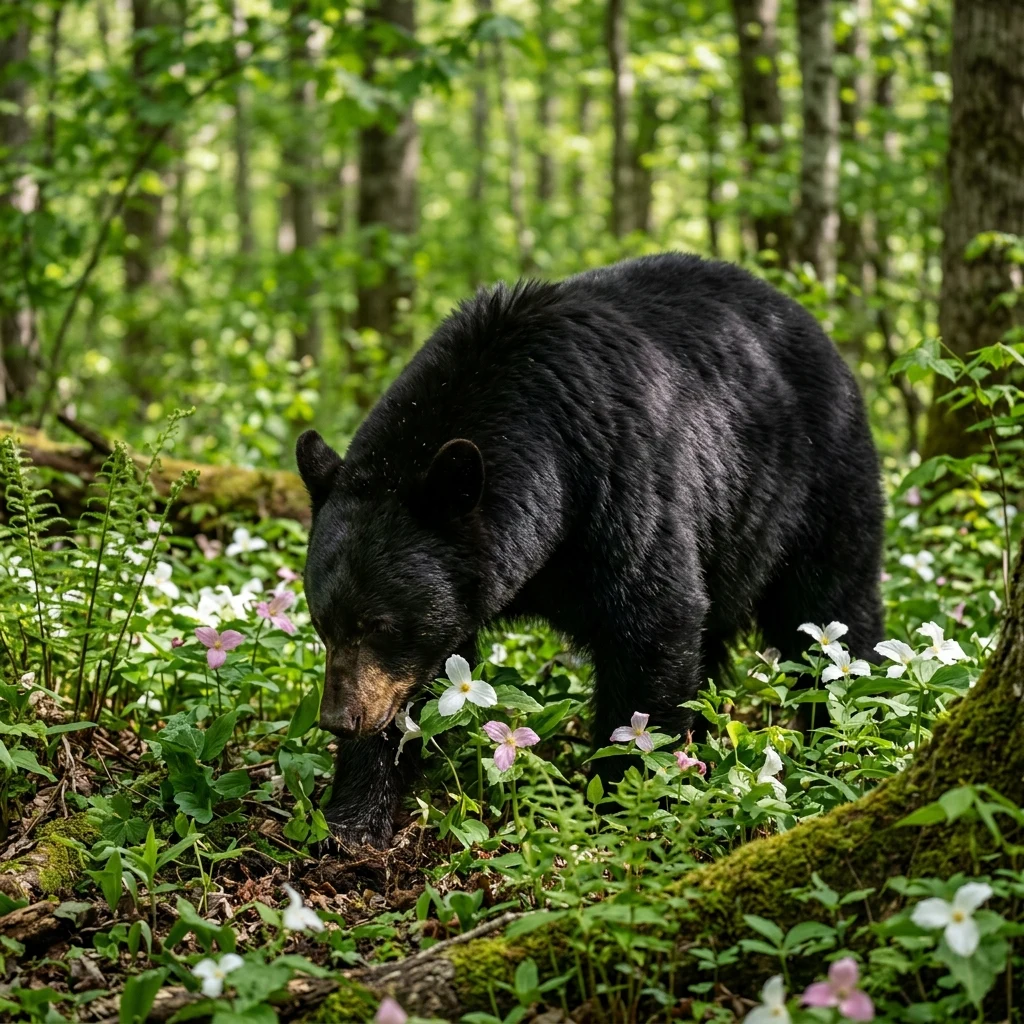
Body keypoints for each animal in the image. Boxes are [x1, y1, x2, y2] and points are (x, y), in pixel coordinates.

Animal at [296, 252, 884, 848]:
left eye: (382, 625)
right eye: (322, 623)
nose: (337, 718)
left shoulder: (618, 484)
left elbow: (654, 622)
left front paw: (629, 802)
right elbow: (415, 686)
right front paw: (350, 819)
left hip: (816, 486)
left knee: (832, 605)